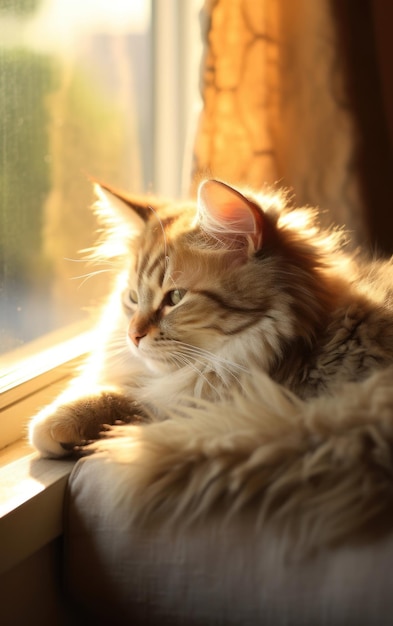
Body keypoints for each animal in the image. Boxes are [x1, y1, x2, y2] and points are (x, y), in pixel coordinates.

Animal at [28, 179, 393, 544]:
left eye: (175, 298)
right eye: (132, 298)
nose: (133, 335)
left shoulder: (224, 407)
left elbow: (134, 402)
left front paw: (54, 423)